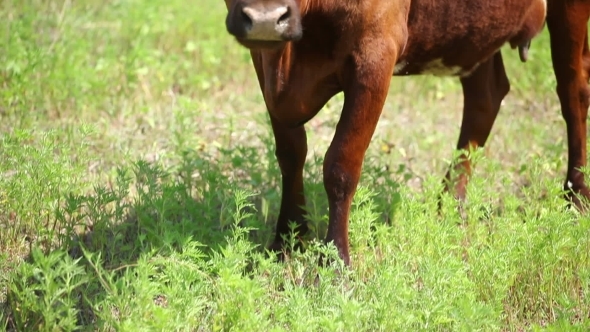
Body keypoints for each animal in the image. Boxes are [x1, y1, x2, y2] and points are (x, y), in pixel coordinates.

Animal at [224, 0, 556, 264]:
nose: (265, 19)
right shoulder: (264, 64)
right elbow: (290, 154)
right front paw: (287, 240)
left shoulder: (376, 52)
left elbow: (341, 166)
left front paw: (334, 262)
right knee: (486, 95)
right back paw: (449, 209)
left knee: (567, 92)